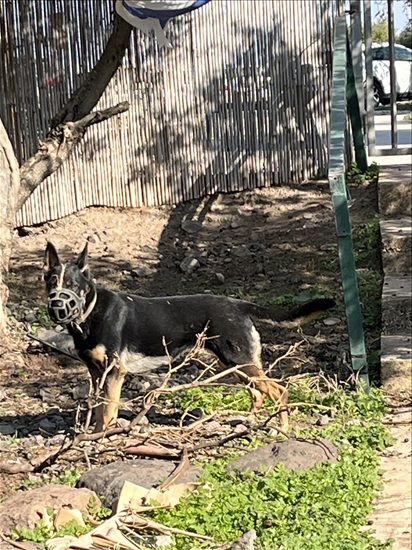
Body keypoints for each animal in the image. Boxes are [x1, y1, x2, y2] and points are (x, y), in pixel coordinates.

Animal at [43, 244, 336, 434]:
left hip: (239, 362)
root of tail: (238, 304)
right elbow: (97, 409)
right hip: (233, 365)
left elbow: (109, 410)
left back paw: (282, 428)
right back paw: (251, 423)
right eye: (51, 282)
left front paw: (104, 436)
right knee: (257, 393)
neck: (90, 314)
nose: (56, 305)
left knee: (278, 390)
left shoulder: (115, 372)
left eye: (73, 285)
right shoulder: (95, 373)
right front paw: (92, 434)